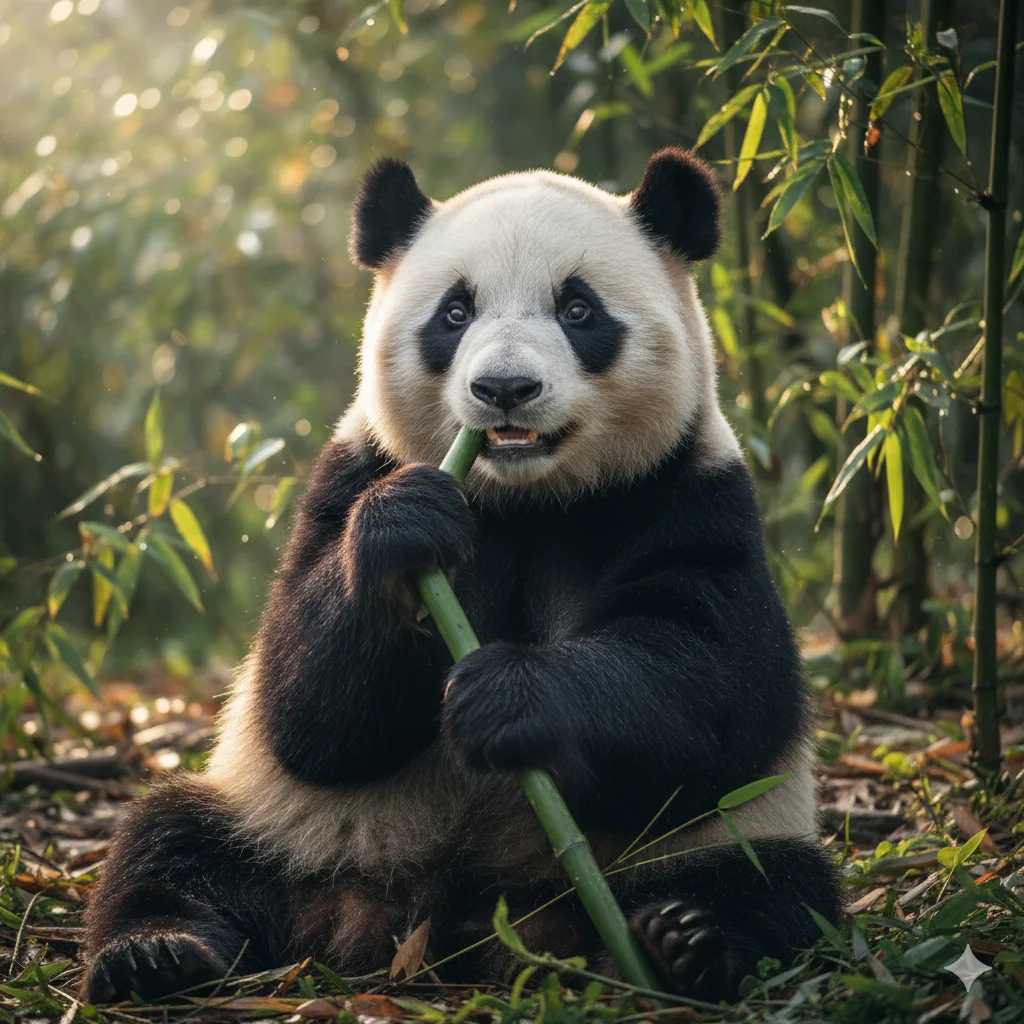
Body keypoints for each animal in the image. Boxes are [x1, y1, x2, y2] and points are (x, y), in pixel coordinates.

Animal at [82, 149, 840, 1005]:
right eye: (454, 312)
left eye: (578, 309)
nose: (505, 389)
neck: (526, 499)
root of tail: (443, 916)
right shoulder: (354, 471)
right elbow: (302, 703)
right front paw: (404, 530)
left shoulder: (686, 492)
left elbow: (715, 686)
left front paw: (507, 695)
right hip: (290, 824)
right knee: (173, 839)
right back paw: (155, 952)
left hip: (708, 840)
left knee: (776, 885)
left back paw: (684, 943)